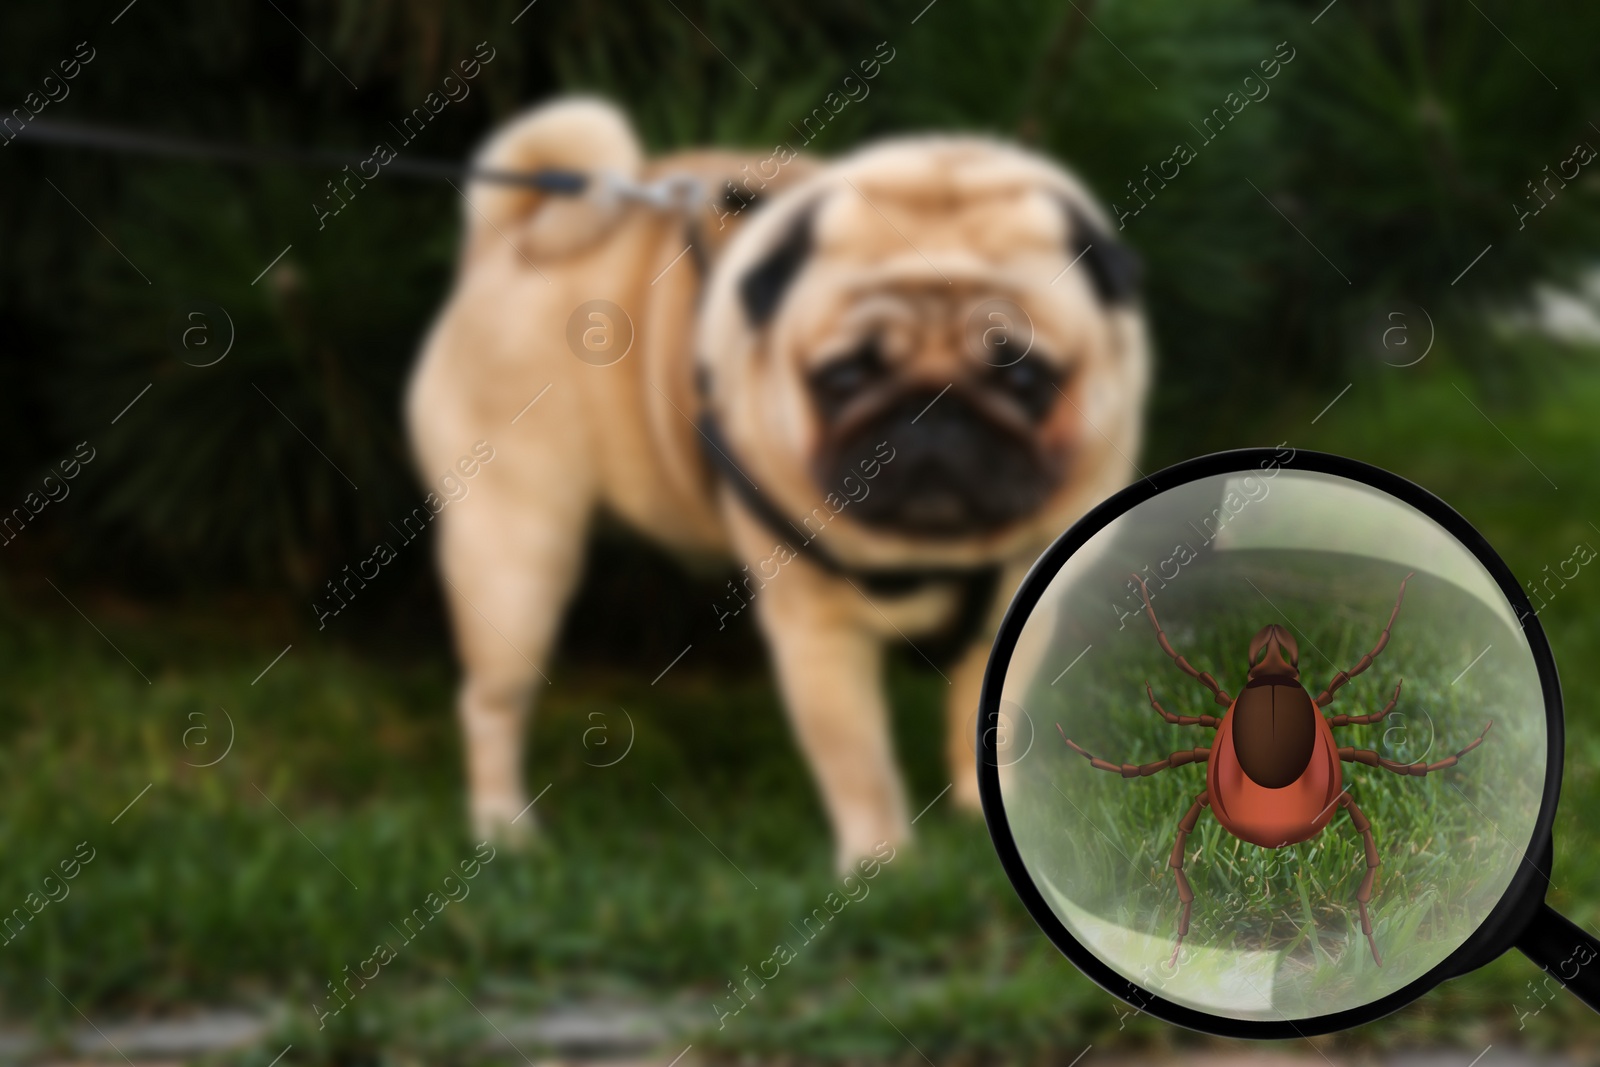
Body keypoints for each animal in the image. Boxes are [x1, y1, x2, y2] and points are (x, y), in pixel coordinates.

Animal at [406, 95, 1145, 870]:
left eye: (1026, 377)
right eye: (845, 376)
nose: (934, 414)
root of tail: (505, 241)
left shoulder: (1018, 613)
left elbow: (991, 725)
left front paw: (985, 818)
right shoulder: (819, 633)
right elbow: (857, 759)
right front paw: (882, 862)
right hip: (516, 561)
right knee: (492, 704)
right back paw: (503, 829)